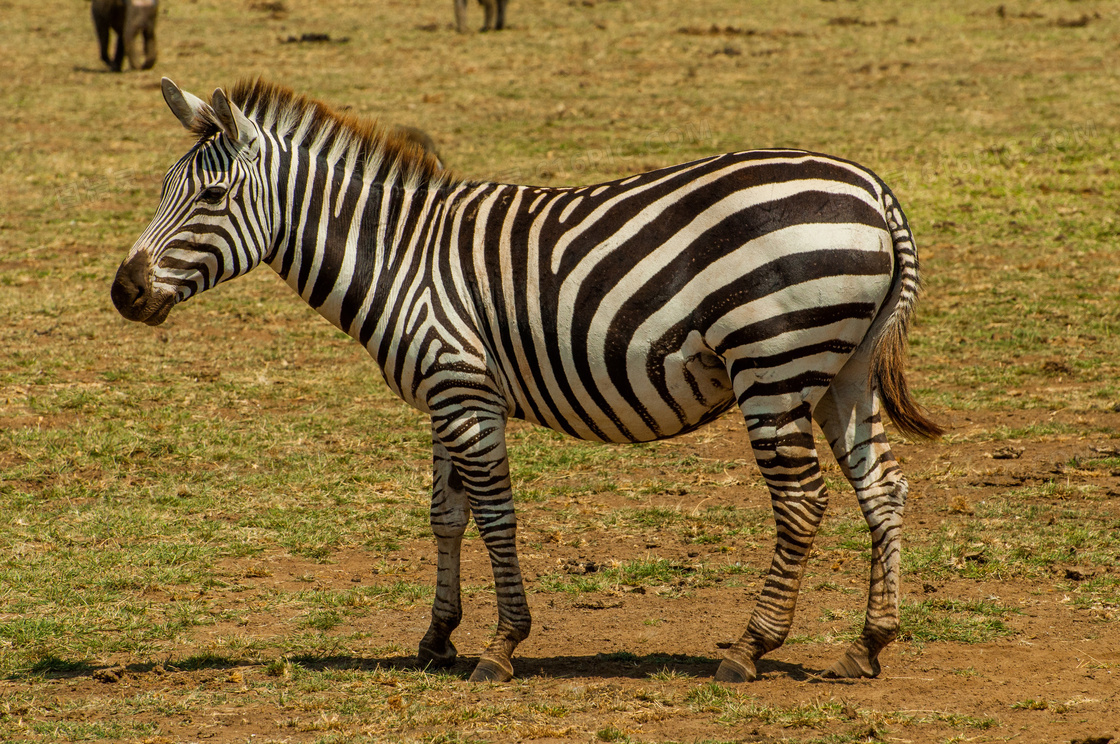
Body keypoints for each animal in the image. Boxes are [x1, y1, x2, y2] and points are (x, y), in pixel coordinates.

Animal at [113, 78, 940, 681]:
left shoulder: (463, 390)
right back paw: (869, 643)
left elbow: (495, 517)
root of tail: (875, 193)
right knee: (883, 487)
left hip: (774, 364)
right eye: (163, 190)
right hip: (842, 369)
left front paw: (501, 644)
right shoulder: (448, 390)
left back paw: (749, 648)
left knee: (801, 502)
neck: (398, 257)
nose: (124, 291)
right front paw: (437, 637)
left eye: (212, 197)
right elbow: (446, 515)